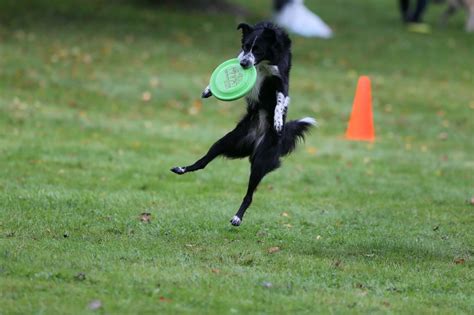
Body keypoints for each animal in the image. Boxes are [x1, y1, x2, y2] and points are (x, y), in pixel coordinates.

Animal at [170, 21, 314, 226]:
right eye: (246, 46)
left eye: (258, 49)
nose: (244, 64)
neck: (262, 63)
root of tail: (254, 140)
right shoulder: (239, 56)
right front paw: (208, 90)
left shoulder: (281, 80)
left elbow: (280, 101)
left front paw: (278, 121)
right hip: (227, 141)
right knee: (203, 162)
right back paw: (182, 168)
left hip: (261, 161)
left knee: (249, 195)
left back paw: (237, 217)